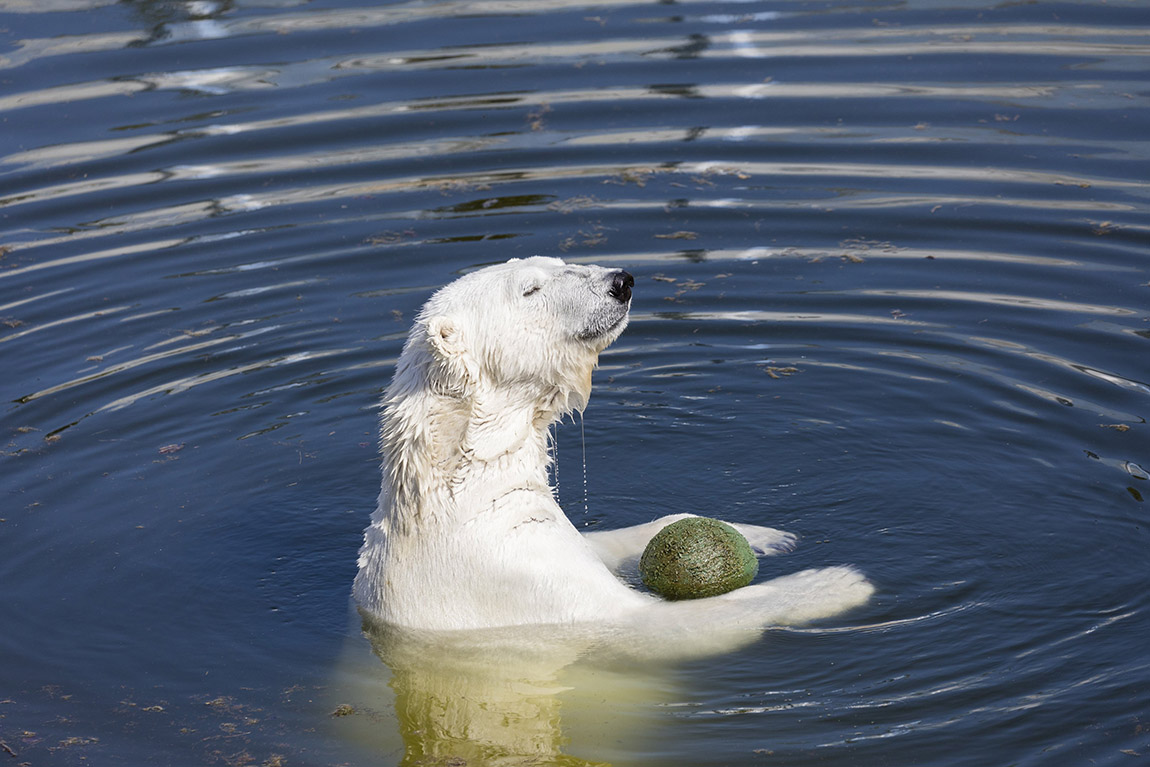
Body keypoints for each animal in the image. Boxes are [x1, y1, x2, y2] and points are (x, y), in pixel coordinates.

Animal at [351, 255, 869, 639]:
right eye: (530, 289)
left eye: (560, 262)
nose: (621, 281)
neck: (459, 486)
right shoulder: (511, 576)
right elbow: (656, 621)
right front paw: (836, 582)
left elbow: (600, 542)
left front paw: (763, 532)